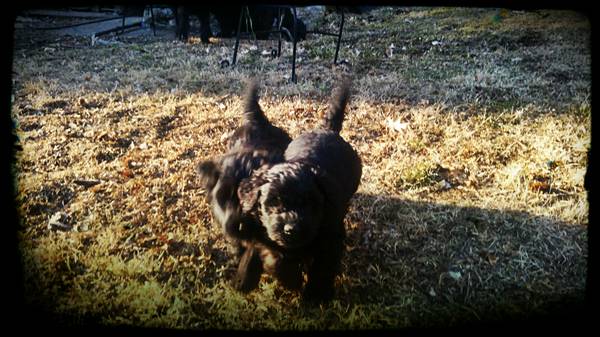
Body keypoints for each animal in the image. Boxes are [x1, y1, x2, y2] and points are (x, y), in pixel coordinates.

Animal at [238, 80, 360, 300]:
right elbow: (263, 251)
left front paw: (315, 296)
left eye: (311, 204)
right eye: (273, 203)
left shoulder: (330, 238)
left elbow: (322, 268)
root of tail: (327, 129)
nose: (291, 229)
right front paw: (246, 279)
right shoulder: (261, 228)